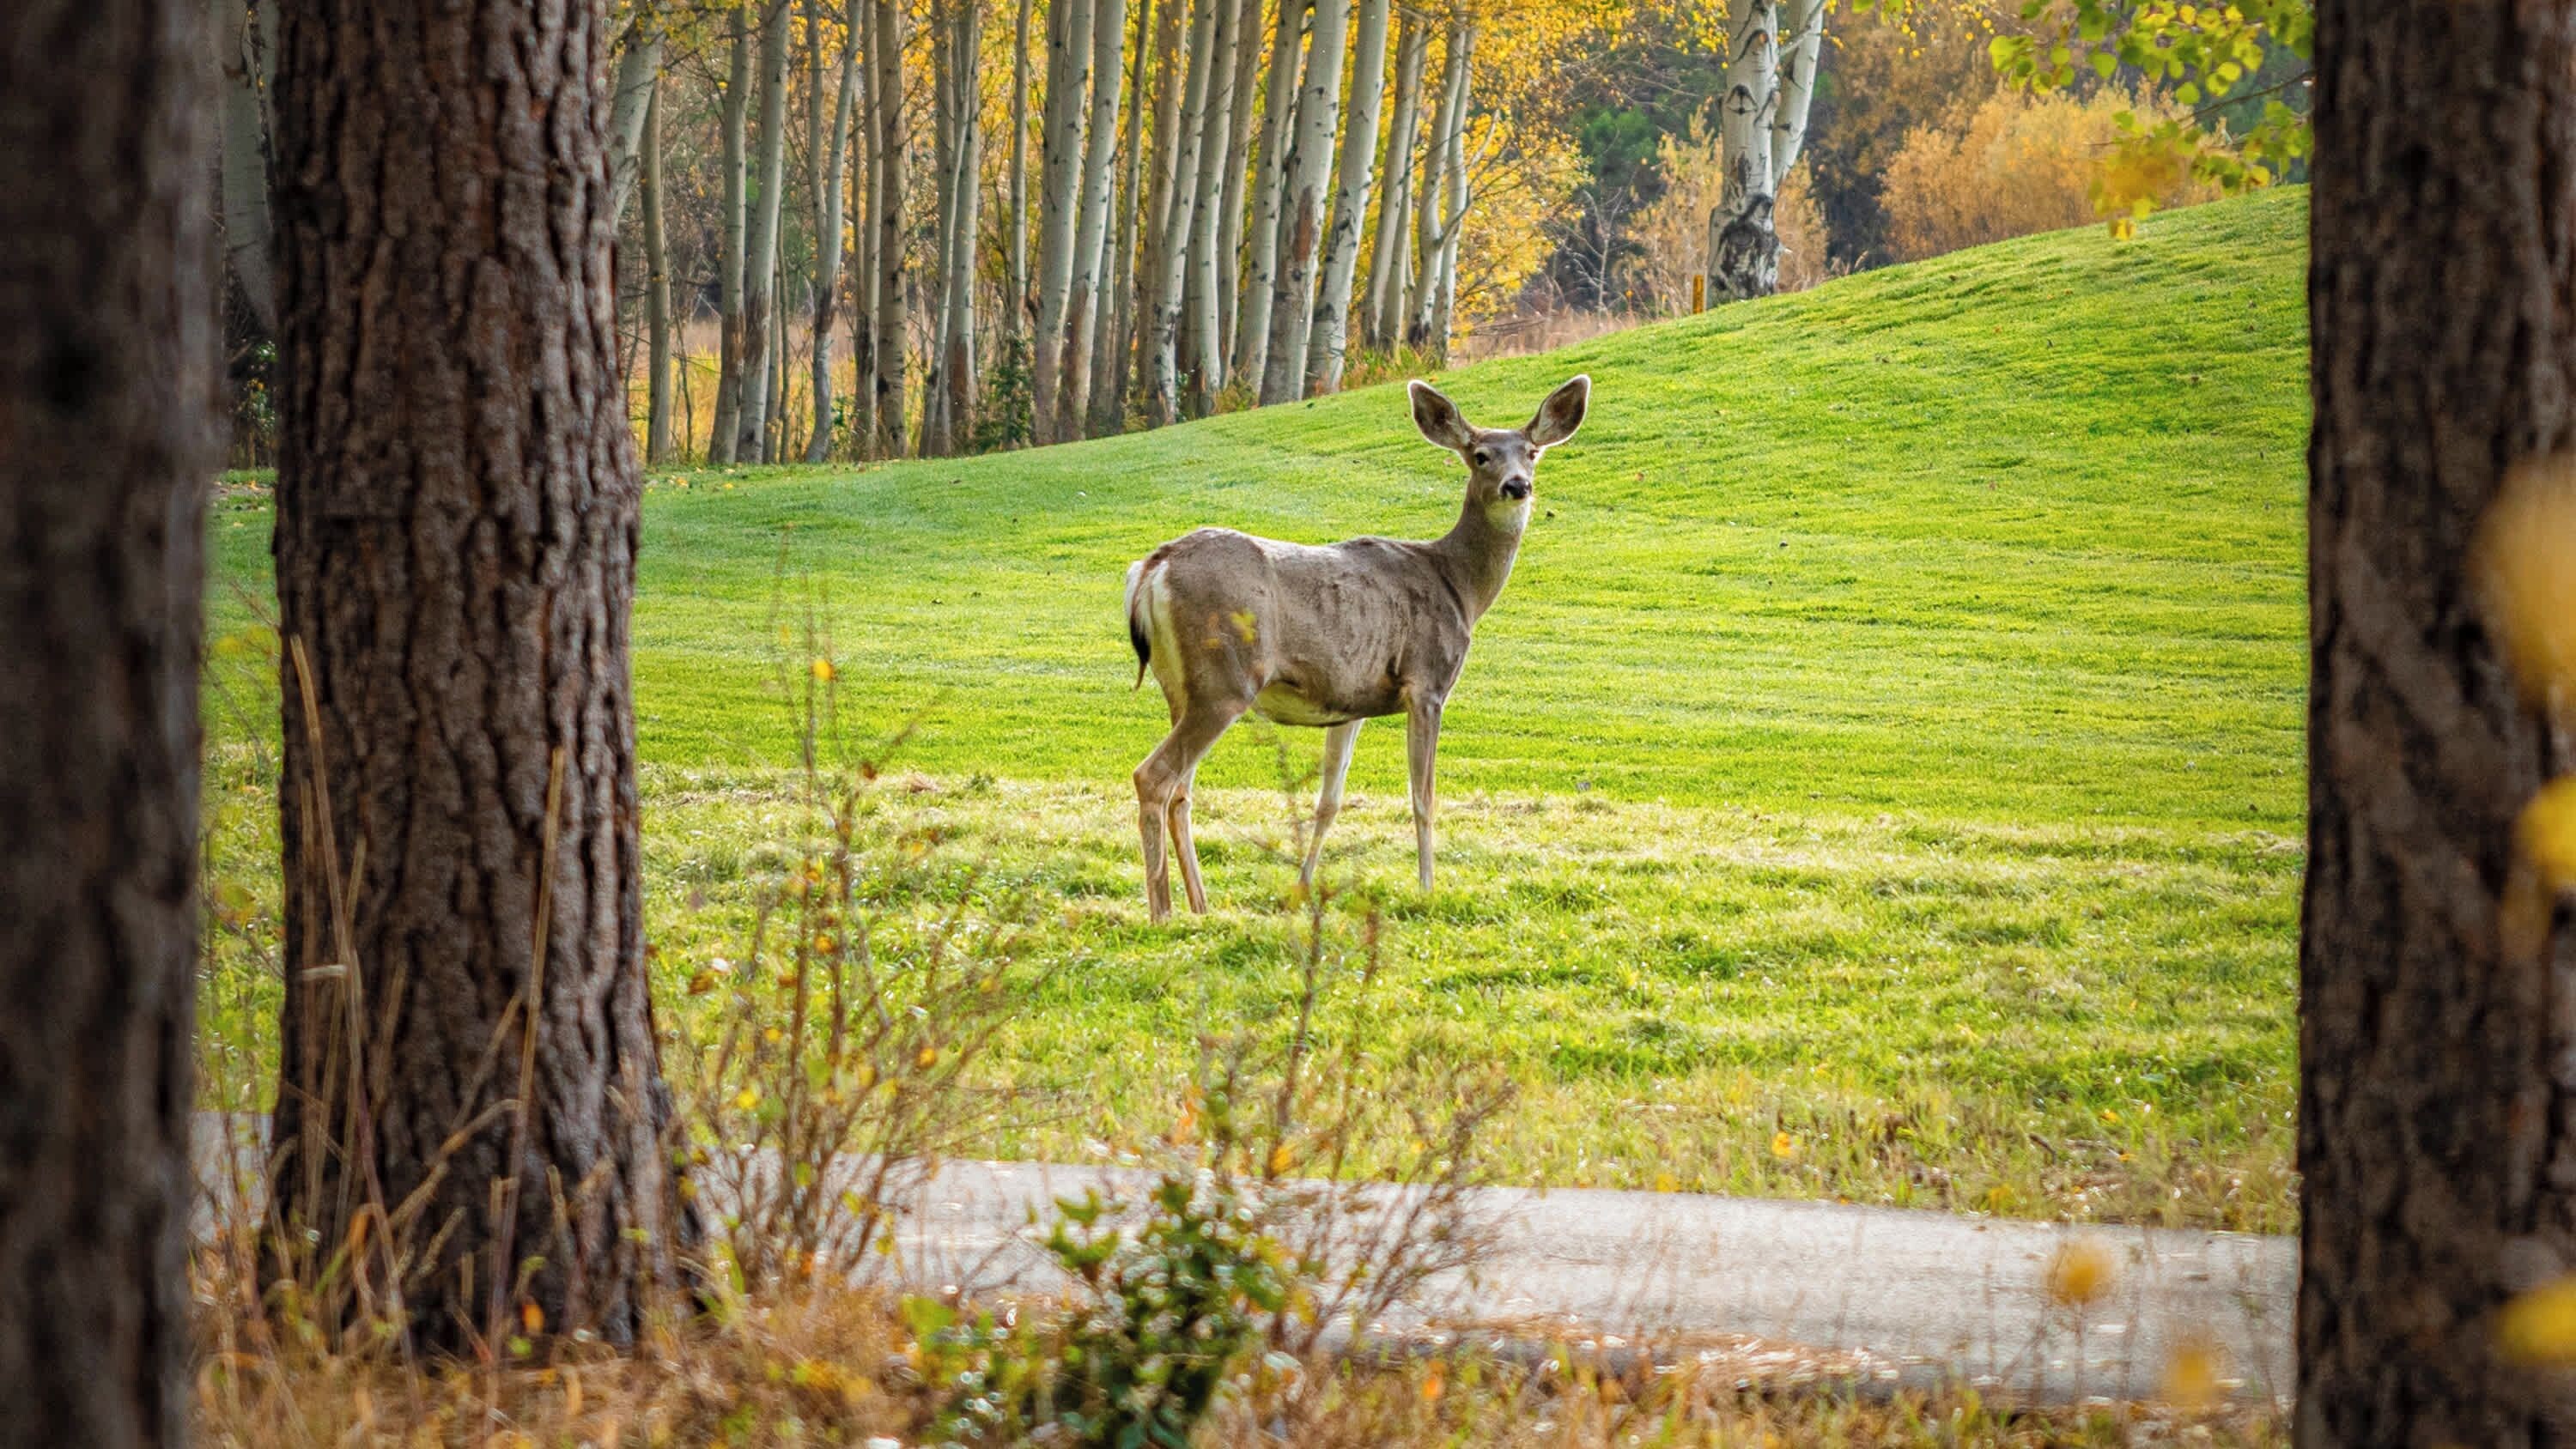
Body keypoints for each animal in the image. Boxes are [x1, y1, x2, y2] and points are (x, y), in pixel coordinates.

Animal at [1121, 374, 1589, 921]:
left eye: (1532, 452)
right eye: (1480, 455)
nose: (1517, 485)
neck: (1460, 587)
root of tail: (1151, 569)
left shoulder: (1349, 702)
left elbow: (1330, 800)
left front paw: (1302, 888)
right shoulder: (1427, 682)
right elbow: (1423, 797)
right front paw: (1427, 888)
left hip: (1180, 687)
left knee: (1182, 789)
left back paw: (1201, 904)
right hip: (1225, 681)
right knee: (1155, 776)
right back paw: (1162, 912)